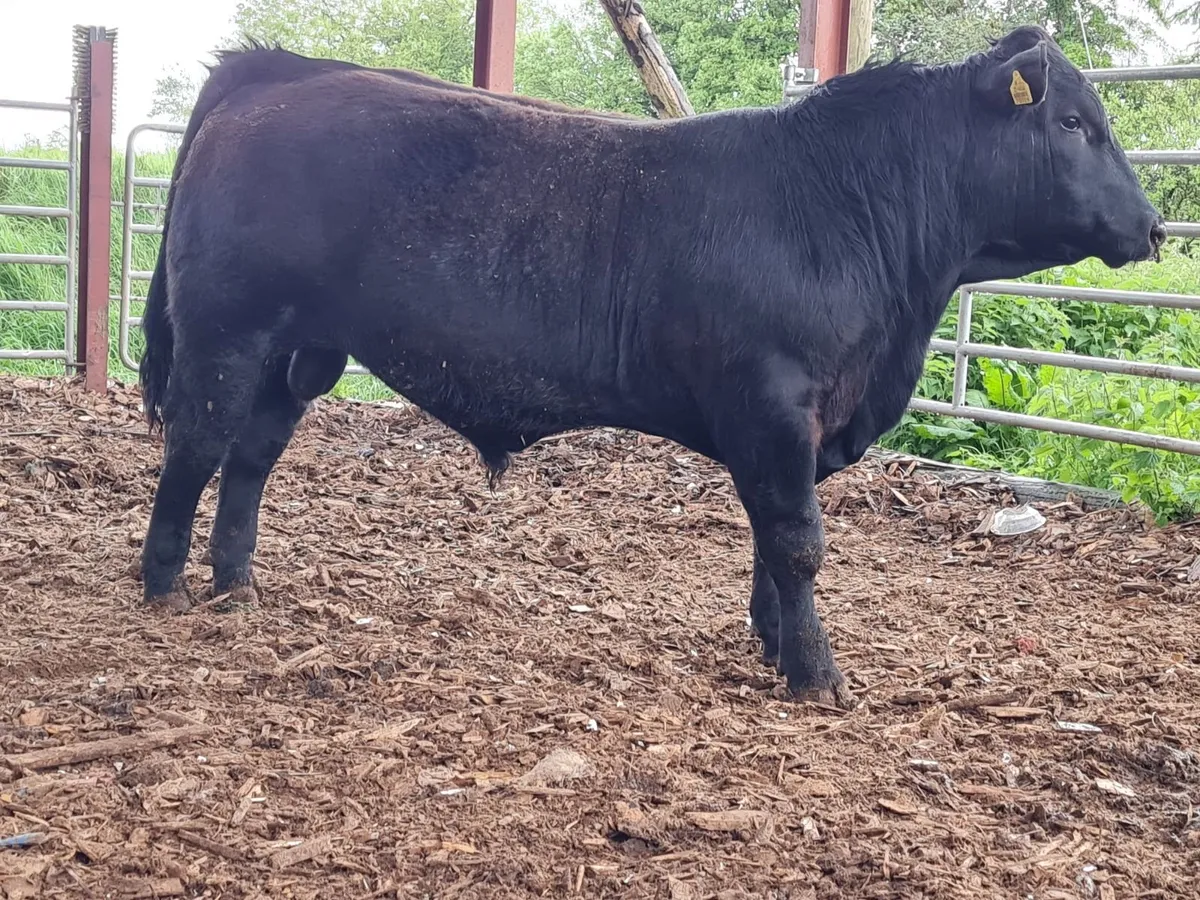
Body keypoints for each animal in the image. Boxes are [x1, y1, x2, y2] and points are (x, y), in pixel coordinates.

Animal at [137, 25, 1165, 708]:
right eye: (1074, 124)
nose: (1156, 227)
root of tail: (281, 68)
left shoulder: (788, 430)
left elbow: (769, 544)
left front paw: (772, 644)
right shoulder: (773, 406)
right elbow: (798, 541)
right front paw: (816, 677)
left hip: (298, 352)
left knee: (250, 459)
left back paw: (237, 585)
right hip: (228, 333)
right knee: (194, 450)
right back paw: (166, 587)